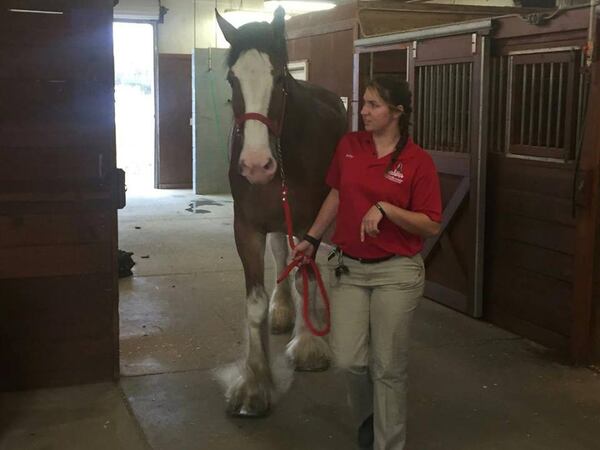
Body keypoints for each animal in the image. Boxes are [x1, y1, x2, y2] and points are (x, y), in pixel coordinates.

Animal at [216, 7, 346, 416]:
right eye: (232, 78)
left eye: (279, 77)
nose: (257, 165)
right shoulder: (247, 228)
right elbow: (254, 304)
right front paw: (254, 385)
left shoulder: (308, 222)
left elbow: (307, 276)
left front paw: (308, 347)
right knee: (280, 255)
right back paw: (283, 310)